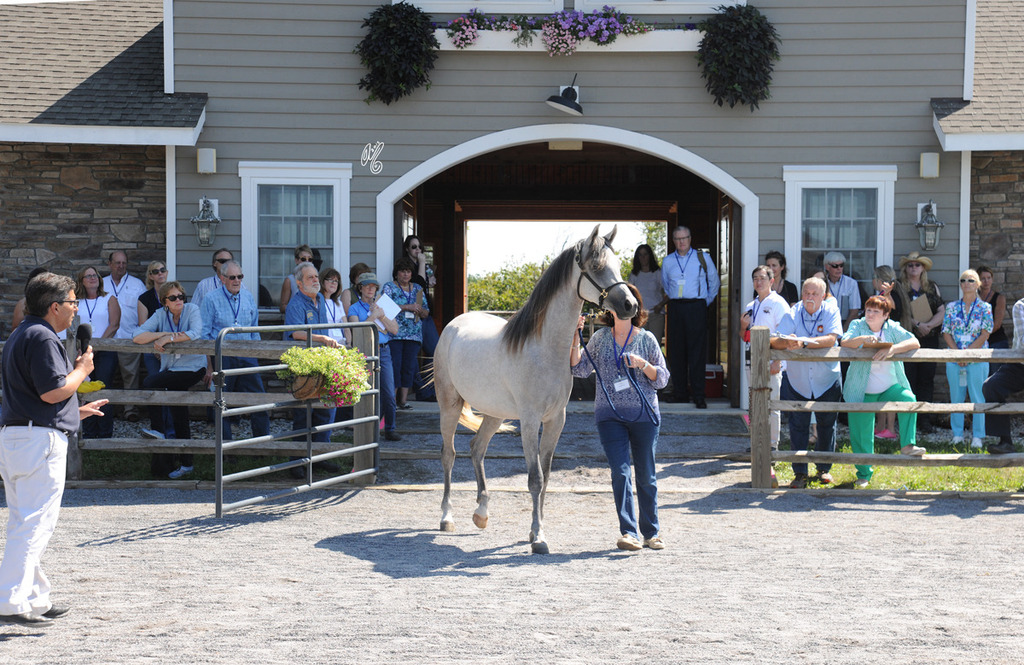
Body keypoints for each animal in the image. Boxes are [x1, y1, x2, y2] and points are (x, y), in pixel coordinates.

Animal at [433, 225, 638, 554]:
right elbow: (534, 479)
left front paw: (534, 531)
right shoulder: (530, 421)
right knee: (449, 454)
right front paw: (539, 537)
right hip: (449, 406)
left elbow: (547, 475)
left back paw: (481, 513)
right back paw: (446, 518)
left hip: (494, 413)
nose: (630, 306)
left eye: (618, 265)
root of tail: (454, 326)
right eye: (596, 266)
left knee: (477, 449)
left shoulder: (556, 420)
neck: (544, 348)